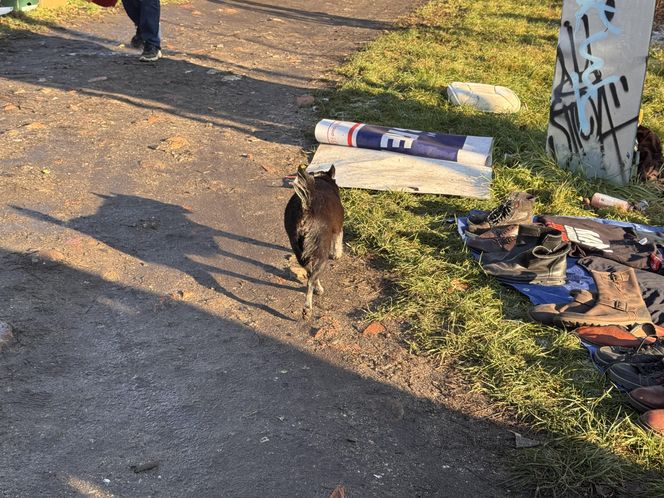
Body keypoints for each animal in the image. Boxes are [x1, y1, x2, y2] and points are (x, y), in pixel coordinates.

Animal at [282, 165, 342, 318]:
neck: (322, 179)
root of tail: (306, 208)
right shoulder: (338, 227)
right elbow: (338, 241)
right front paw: (337, 254)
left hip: (298, 249)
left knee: (310, 273)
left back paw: (317, 290)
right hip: (321, 254)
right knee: (311, 279)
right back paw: (308, 308)